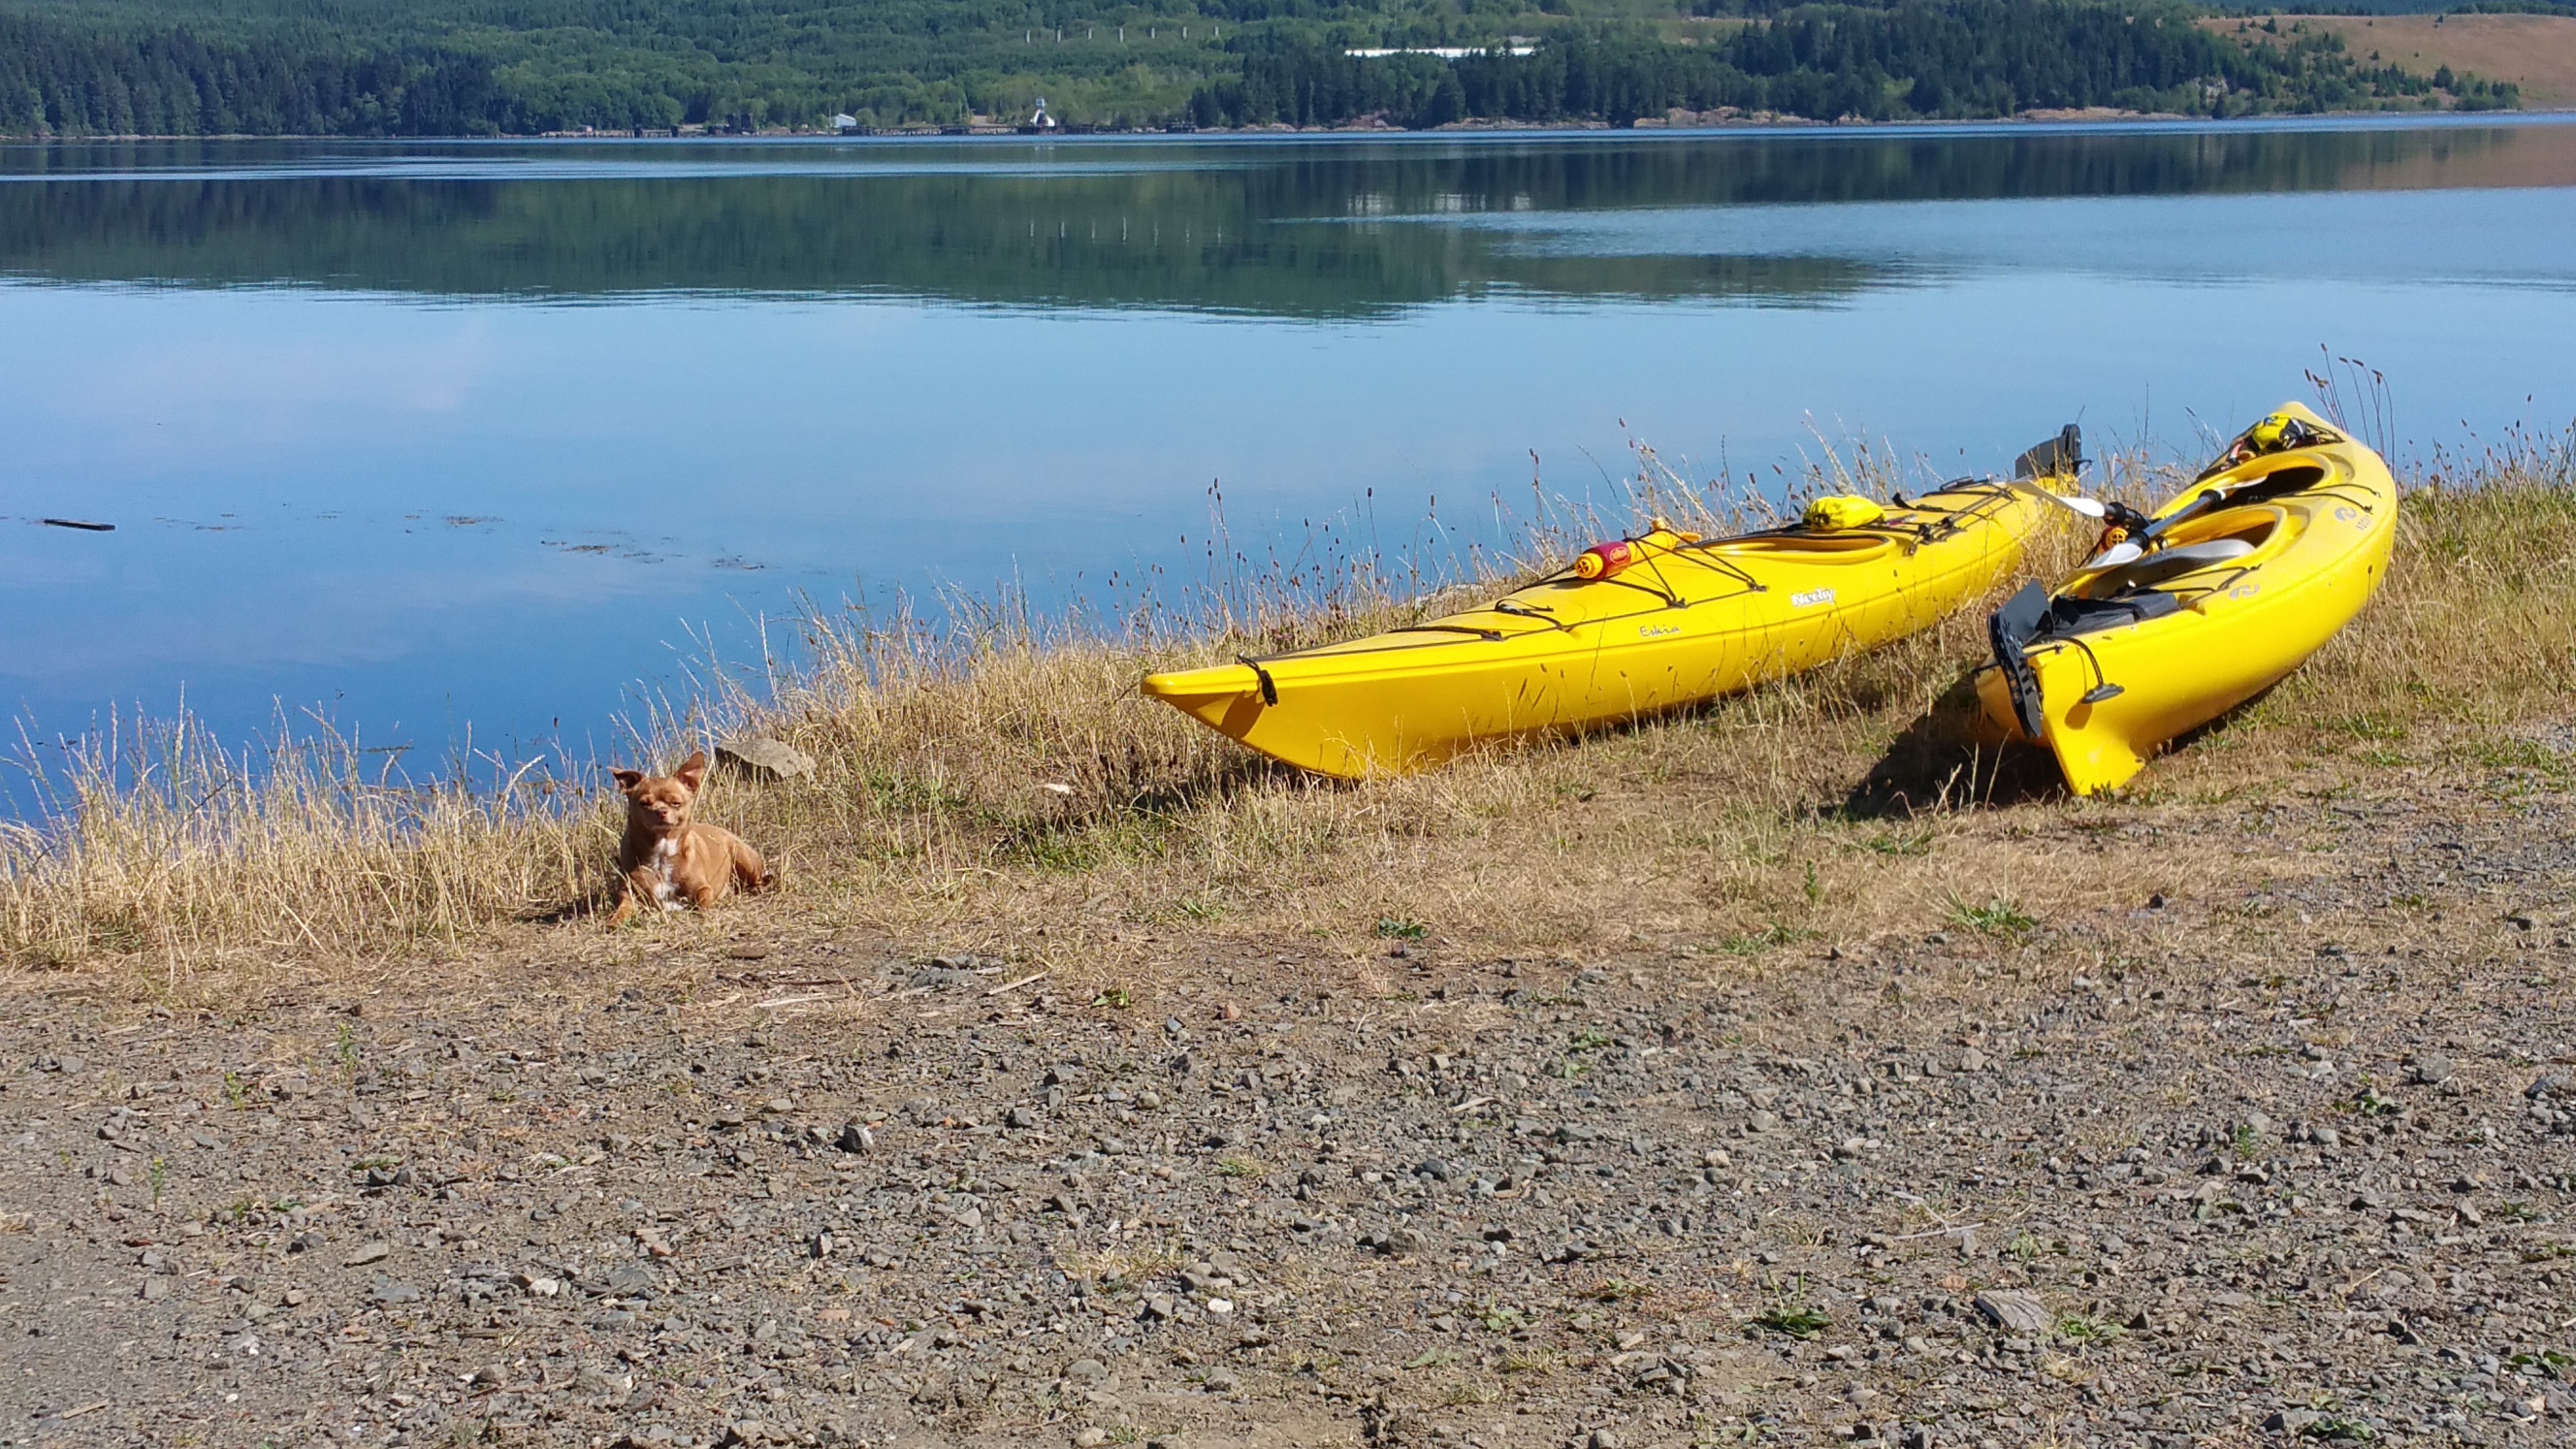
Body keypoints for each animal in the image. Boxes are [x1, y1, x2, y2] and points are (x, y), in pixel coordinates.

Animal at [607, 747, 767, 918]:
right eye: (644, 803)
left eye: (676, 803)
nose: (661, 811)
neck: (661, 854)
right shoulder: (628, 894)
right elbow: (621, 911)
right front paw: (613, 921)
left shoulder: (703, 888)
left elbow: (703, 901)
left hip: (743, 857)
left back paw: (757, 887)